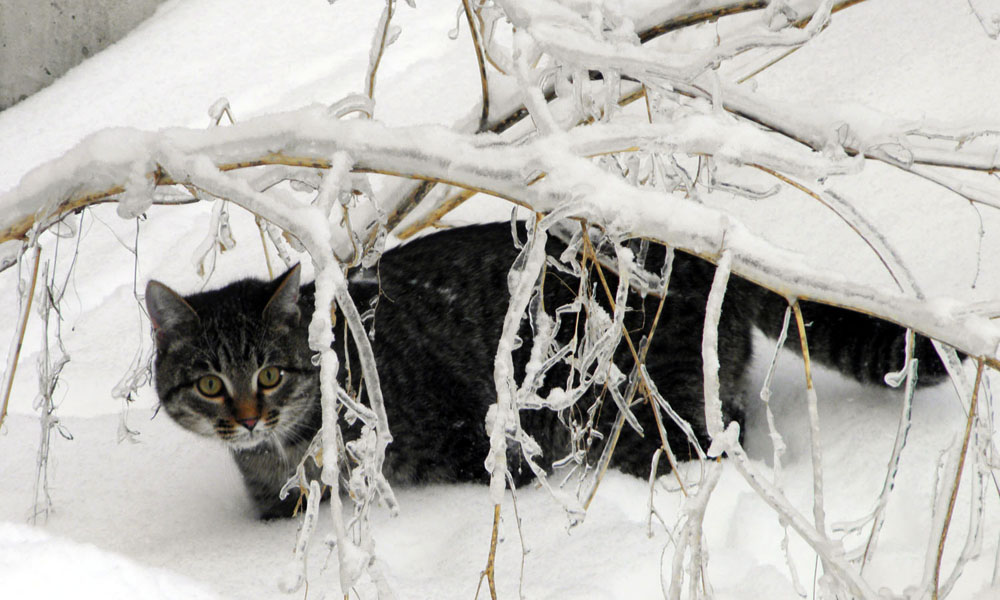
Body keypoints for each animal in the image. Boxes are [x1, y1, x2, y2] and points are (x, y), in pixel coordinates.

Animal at [143, 223, 944, 516]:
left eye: (269, 374)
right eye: (210, 384)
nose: (247, 416)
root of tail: (691, 244)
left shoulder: (475, 443)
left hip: (640, 414)